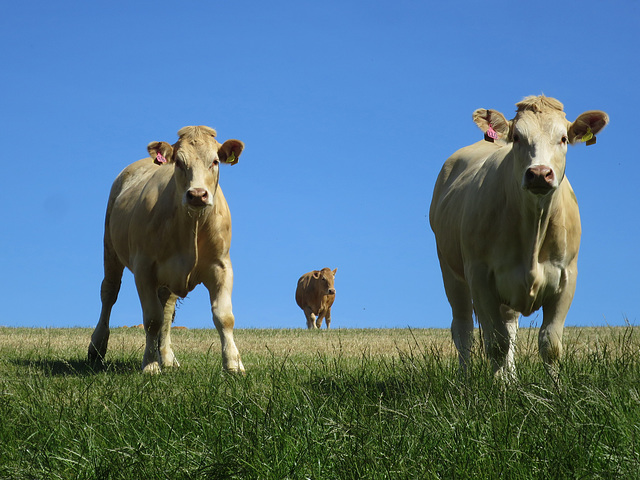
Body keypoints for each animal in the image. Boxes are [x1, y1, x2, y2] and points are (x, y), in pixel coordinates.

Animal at [90, 125, 248, 374]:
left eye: (215, 161)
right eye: (179, 163)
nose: (197, 194)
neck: (192, 225)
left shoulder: (221, 266)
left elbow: (224, 316)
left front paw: (233, 364)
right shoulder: (144, 268)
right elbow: (151, 319)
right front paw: (150, 365)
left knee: (166, 310)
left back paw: (167, 357)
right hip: (110, 246)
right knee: (109, 292)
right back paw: (97, 348)